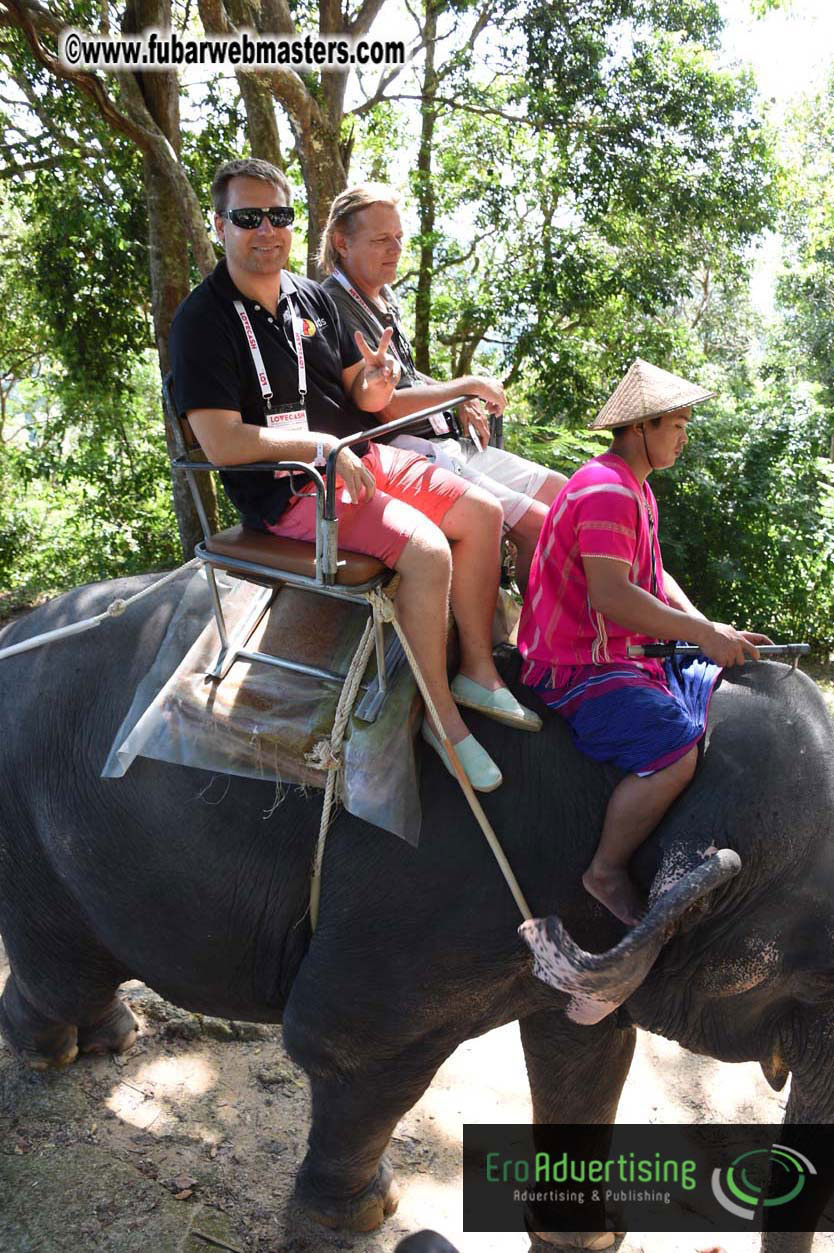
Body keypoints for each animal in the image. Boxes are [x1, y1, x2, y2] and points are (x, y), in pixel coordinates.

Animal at [1, 571, 833, 1253]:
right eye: (816, 965)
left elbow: (588, 1053)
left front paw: (586, 1236)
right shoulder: (428, 884)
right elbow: (353, 1040)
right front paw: (362, 1218)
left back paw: (105, 1037)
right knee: (61, 963)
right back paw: (53, 1050)